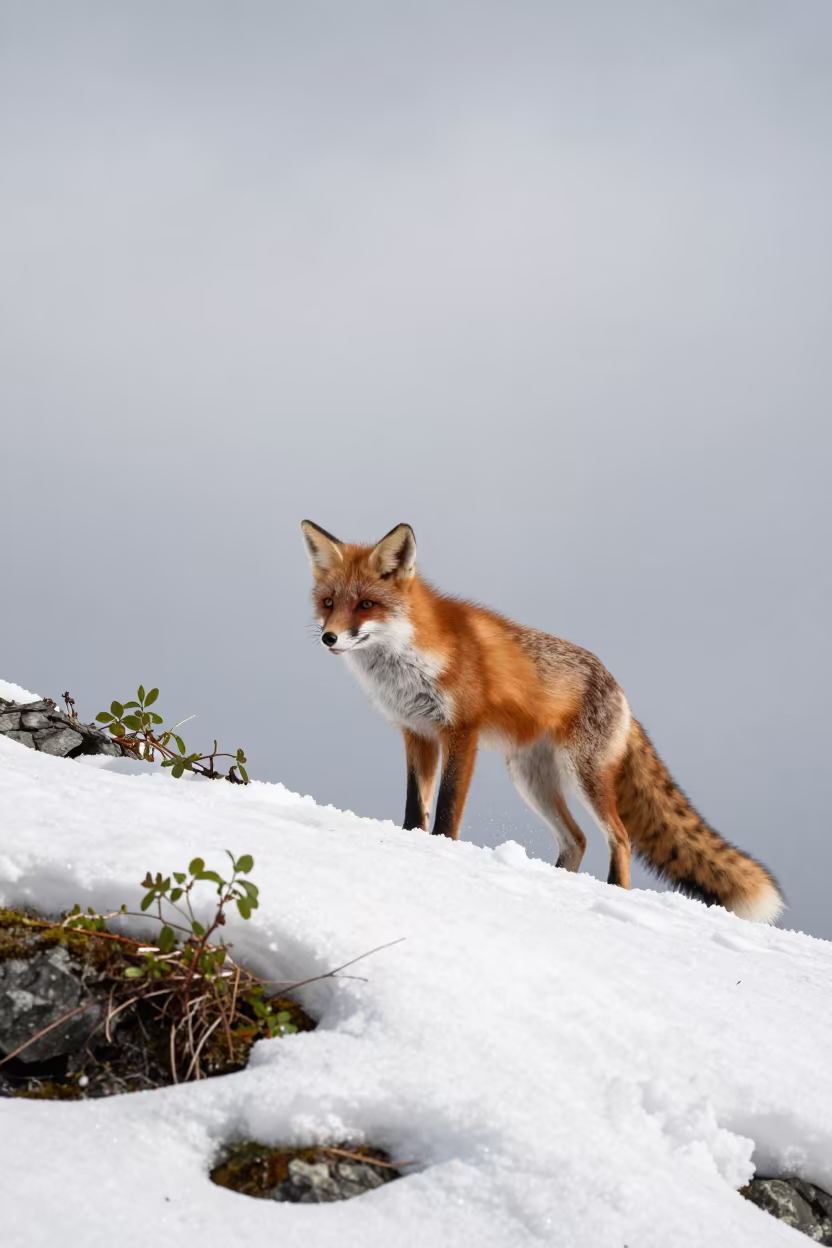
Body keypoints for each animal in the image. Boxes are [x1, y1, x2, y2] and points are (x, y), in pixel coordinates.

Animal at [301, 519, 785, 923]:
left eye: (366, 604)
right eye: (329, 603)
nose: (328, 637)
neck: (407, 661)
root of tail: (623, 695)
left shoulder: (461, 732)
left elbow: (447, 810)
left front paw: (442, 852)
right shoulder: (417, 733)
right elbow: (413, 808)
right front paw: (412, 843)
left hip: (583, 775)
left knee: (620, 837)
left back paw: (614, 893)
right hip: (531, 779)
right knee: (577, 840)